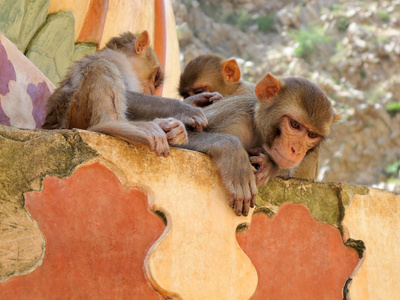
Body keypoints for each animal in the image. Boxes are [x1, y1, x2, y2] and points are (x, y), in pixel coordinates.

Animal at [41, 30, 208, 157]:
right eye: (155, 78)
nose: (152, 91)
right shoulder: (116, 59)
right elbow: (127, 96)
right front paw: (185, 108)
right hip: (75, 115)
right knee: (102, 67)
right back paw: (116, 125)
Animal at [180, 74, 340, 217]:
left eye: (312, 134)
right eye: (294, 125)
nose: (297, 150)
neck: (257, 131)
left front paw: (270, 166)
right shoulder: (234, 116)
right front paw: (234, 156)